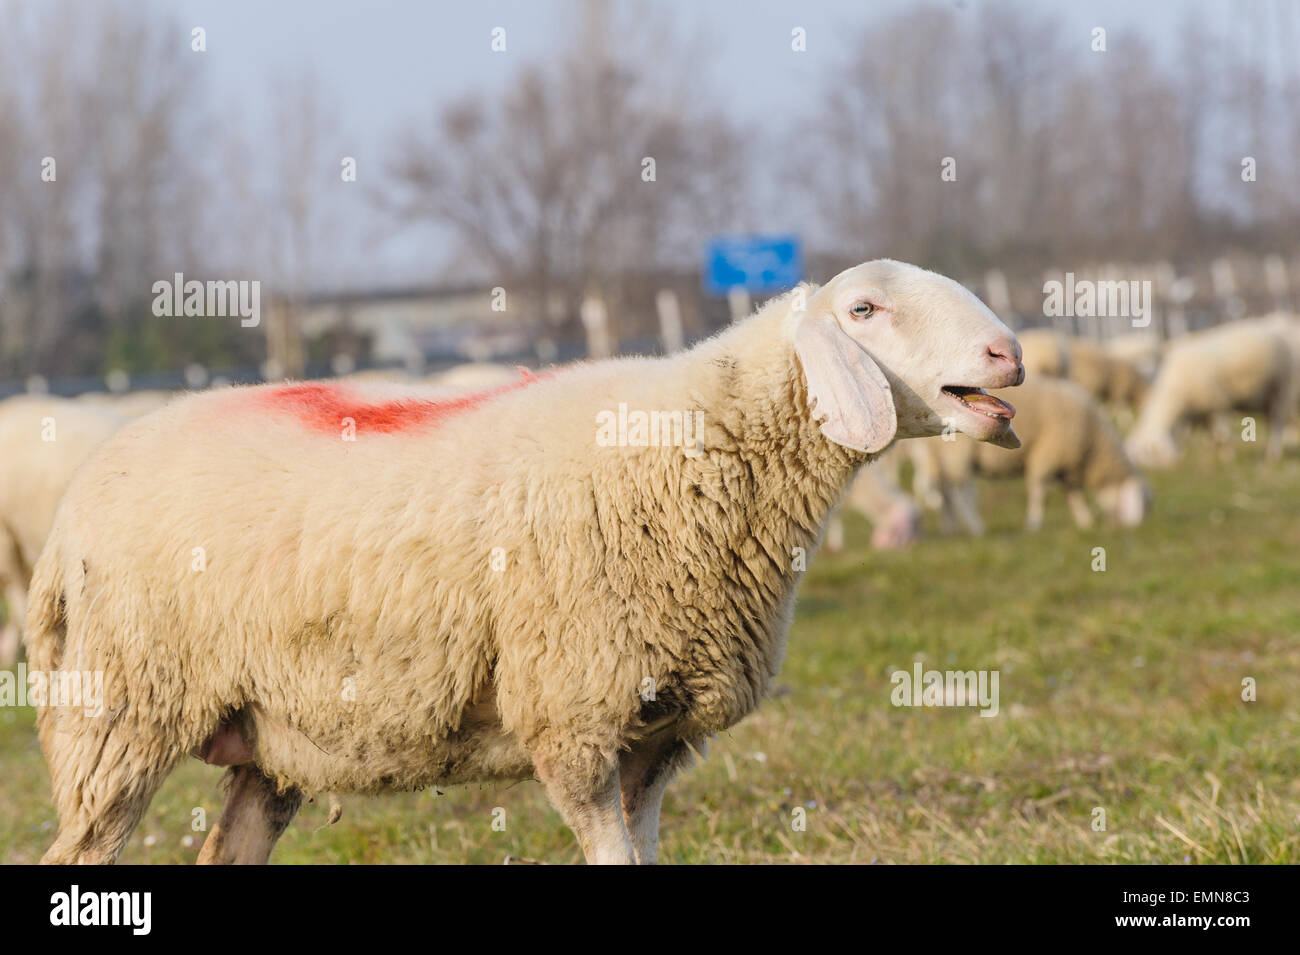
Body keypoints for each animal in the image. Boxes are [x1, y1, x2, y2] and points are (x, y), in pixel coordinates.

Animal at [26, 259, 1024, 865]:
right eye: (863, 311)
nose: (1008, 353)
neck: (699, 448)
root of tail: (71, 510)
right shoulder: (575, 712)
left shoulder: (657, 733)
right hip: (120, 709)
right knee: (82, 849)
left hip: (265, 738)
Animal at [910, 378, 1149, 534]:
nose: (1124, 528)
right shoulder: (1046, 457)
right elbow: (1039, 492)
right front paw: (1034, 524)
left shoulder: (1065, 466)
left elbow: (1074, 493)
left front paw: (1085, 520)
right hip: (957, 454)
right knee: (960, 491)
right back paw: (976, 526)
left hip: (939, 457)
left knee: (946, 493)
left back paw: (950, 528)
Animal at [1127, 320, 1297, 467]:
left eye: (1147, 455)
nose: (1174, 466)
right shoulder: (1198, 414)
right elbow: (1203, 437)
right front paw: (1204, 454)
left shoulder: (1219, 405)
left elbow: (1221, 436)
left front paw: (1226, 457)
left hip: (1281, 390)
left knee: (1277, 424)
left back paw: (1273, 455)